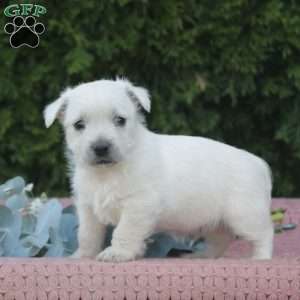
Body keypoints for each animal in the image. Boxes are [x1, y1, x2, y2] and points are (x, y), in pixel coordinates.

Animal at [43, 78, 274, 262]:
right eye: (79, 124)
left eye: (120, 120)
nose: (101, 148)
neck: (107, 173)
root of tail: (257, 163)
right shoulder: (88, 209)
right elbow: (87, 234)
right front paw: (82, 255)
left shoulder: (138, 205)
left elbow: (124, 231)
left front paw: (118, 253)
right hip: (216, 222)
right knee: (221, 240)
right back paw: (203, 256)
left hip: (245, 214)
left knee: (264, 233)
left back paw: (260, 258)